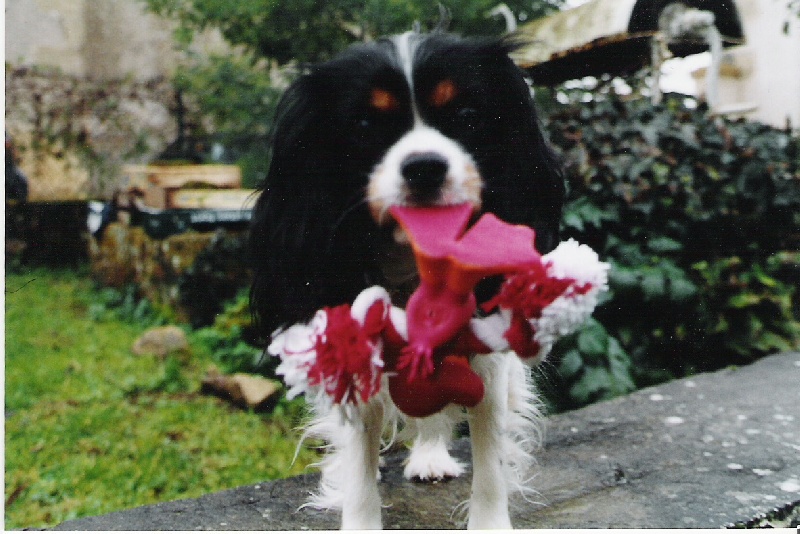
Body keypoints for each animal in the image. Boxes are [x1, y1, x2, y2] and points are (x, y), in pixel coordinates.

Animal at [248, 28, 564, 528]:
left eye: (467, 116)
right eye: (364, 125)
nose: (425, 166)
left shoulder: (486, 354)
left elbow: (490, 452)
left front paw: (489, 523)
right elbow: (360, 457)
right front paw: (358, 516)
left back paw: (430, 455)